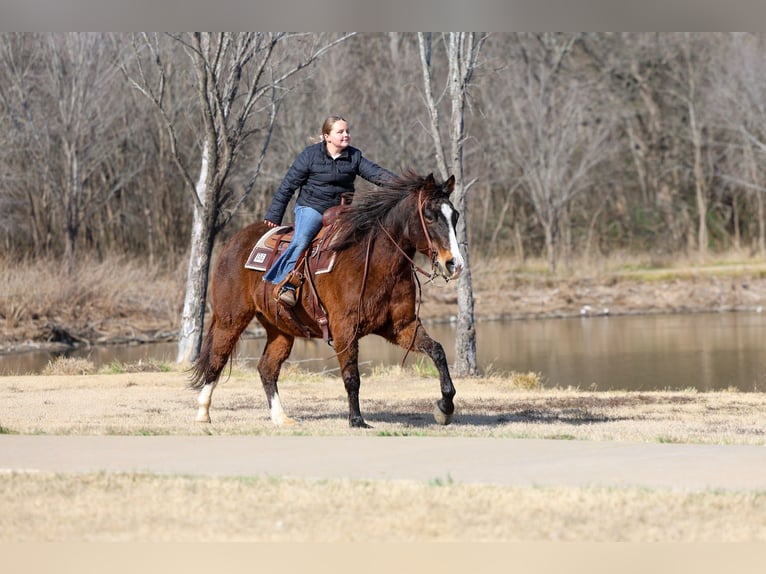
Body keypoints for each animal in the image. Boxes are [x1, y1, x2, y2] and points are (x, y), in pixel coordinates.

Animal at [189, 171, 465, 428]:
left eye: (455, 215)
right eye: (429, 215)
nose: (454, 264)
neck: (373, 262)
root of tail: (233, 243)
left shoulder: (400, 326)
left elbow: (438, 352)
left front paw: (444, 407)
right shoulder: (344, 329)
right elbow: (352, 376)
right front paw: (356, 420)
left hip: (280, 330)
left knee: (267, 368)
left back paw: (281, 418)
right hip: (231, 320)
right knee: (216, 359)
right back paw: (203, 413)